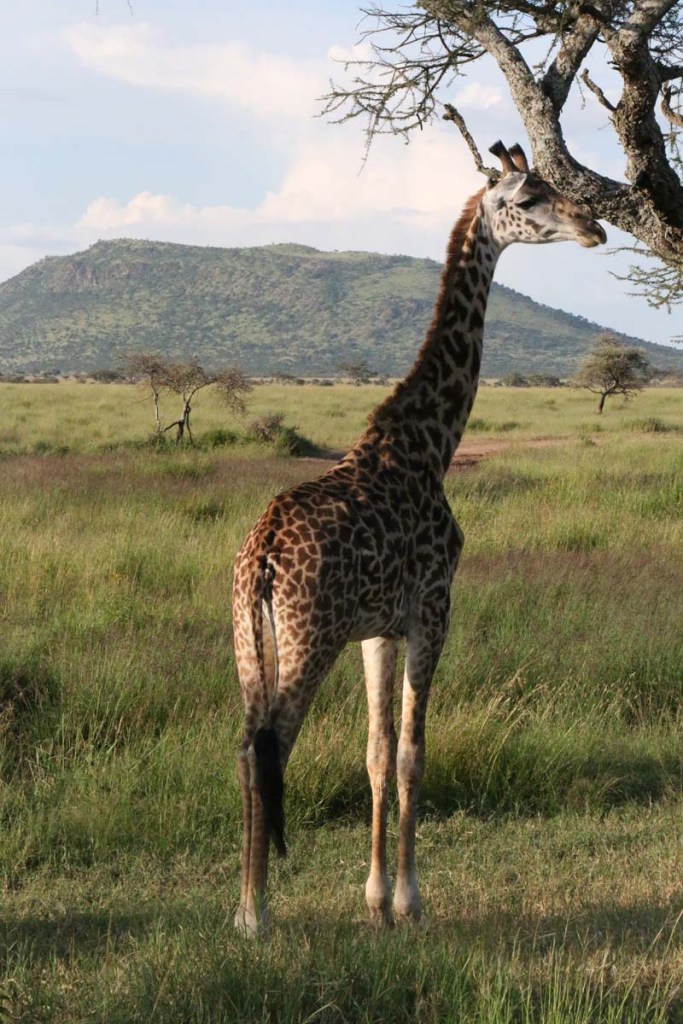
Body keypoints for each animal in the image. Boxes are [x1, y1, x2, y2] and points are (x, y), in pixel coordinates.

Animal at [232, 141, 606, 937]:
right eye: (528, 199)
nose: (593, 227)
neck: (429, 442)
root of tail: (264, 556)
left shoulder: (378, 627)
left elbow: (376, 754)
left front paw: (375, 899)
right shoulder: (434, 608)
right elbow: (411, 754)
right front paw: (410, 899)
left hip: (250, 641)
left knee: (247, 746)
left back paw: (249, 904)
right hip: (309, 638)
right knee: (270, 748)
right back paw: (256, 913)